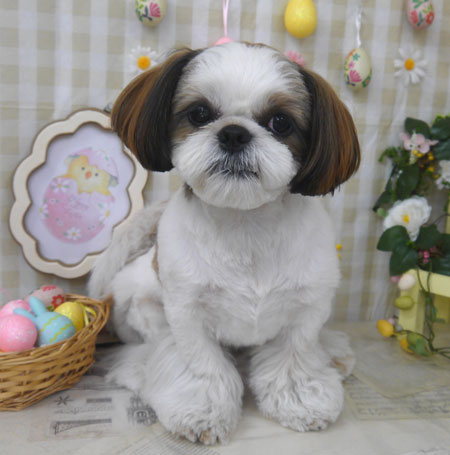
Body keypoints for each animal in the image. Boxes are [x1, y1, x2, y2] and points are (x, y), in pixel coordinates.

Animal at [88, 42, 360, 445]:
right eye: (199, 113)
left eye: (281, 122)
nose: (233, 133)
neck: (244, 224)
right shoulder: (186, 313)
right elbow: (202, 365)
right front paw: (201, 411)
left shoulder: (307, 308)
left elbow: (295, 354)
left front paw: (299, 401)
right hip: (138, 305)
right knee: (149, 352)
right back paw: (140, 372)